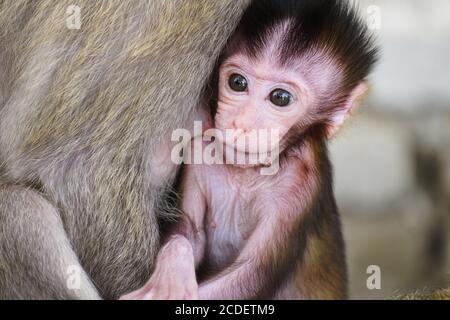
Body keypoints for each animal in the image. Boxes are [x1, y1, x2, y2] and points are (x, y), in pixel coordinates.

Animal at [122, 0, 376, 300]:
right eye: (237, 82)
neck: (245, 174)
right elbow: (188, 233)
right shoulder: (199, 152)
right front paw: (172, 273)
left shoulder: (300, 185)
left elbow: (253, 273)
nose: (240, 124)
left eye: (280, 98)